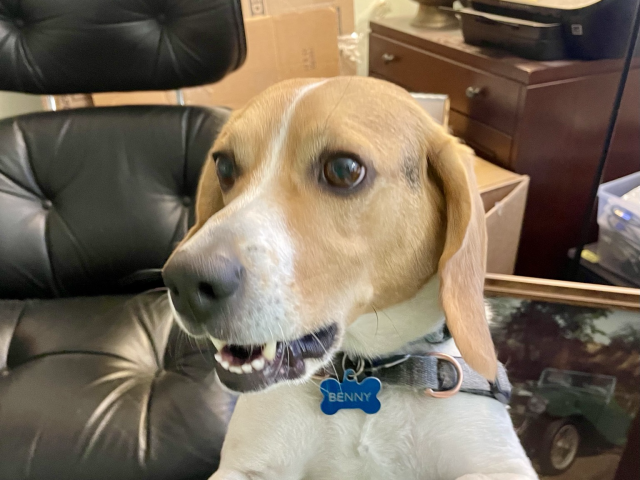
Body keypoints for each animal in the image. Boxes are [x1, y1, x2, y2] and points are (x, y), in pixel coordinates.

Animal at [162, 77, 536, 478]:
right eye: (224, 166)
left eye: (343, 169)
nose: (184, 283)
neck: (367, 370)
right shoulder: (244, 467)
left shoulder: (501, 465)